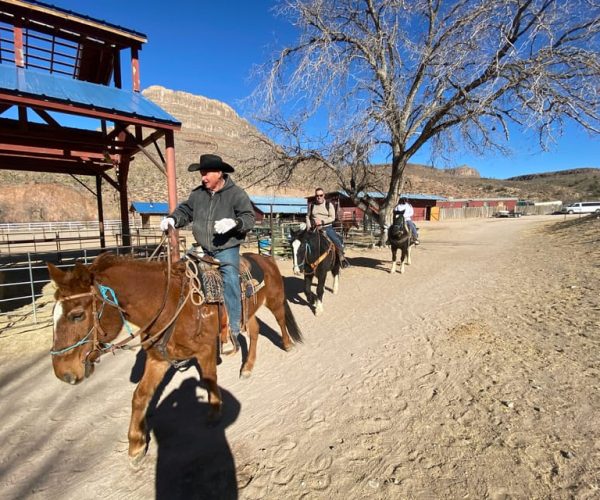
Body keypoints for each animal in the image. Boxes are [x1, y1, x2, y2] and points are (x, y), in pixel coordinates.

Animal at [47, 252, 302, 466]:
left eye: (77, 315)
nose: (63, 373)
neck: (170, 305)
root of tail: (265, 257)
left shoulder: (205, 351)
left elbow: (209, 379)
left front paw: (215, 412)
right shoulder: (158, 359)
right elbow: (140, 396)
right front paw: (136, 445)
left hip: (275, 300)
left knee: (280, 320)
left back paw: (288, 344)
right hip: (247, 313)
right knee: (256, 330)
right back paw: (247, 367)